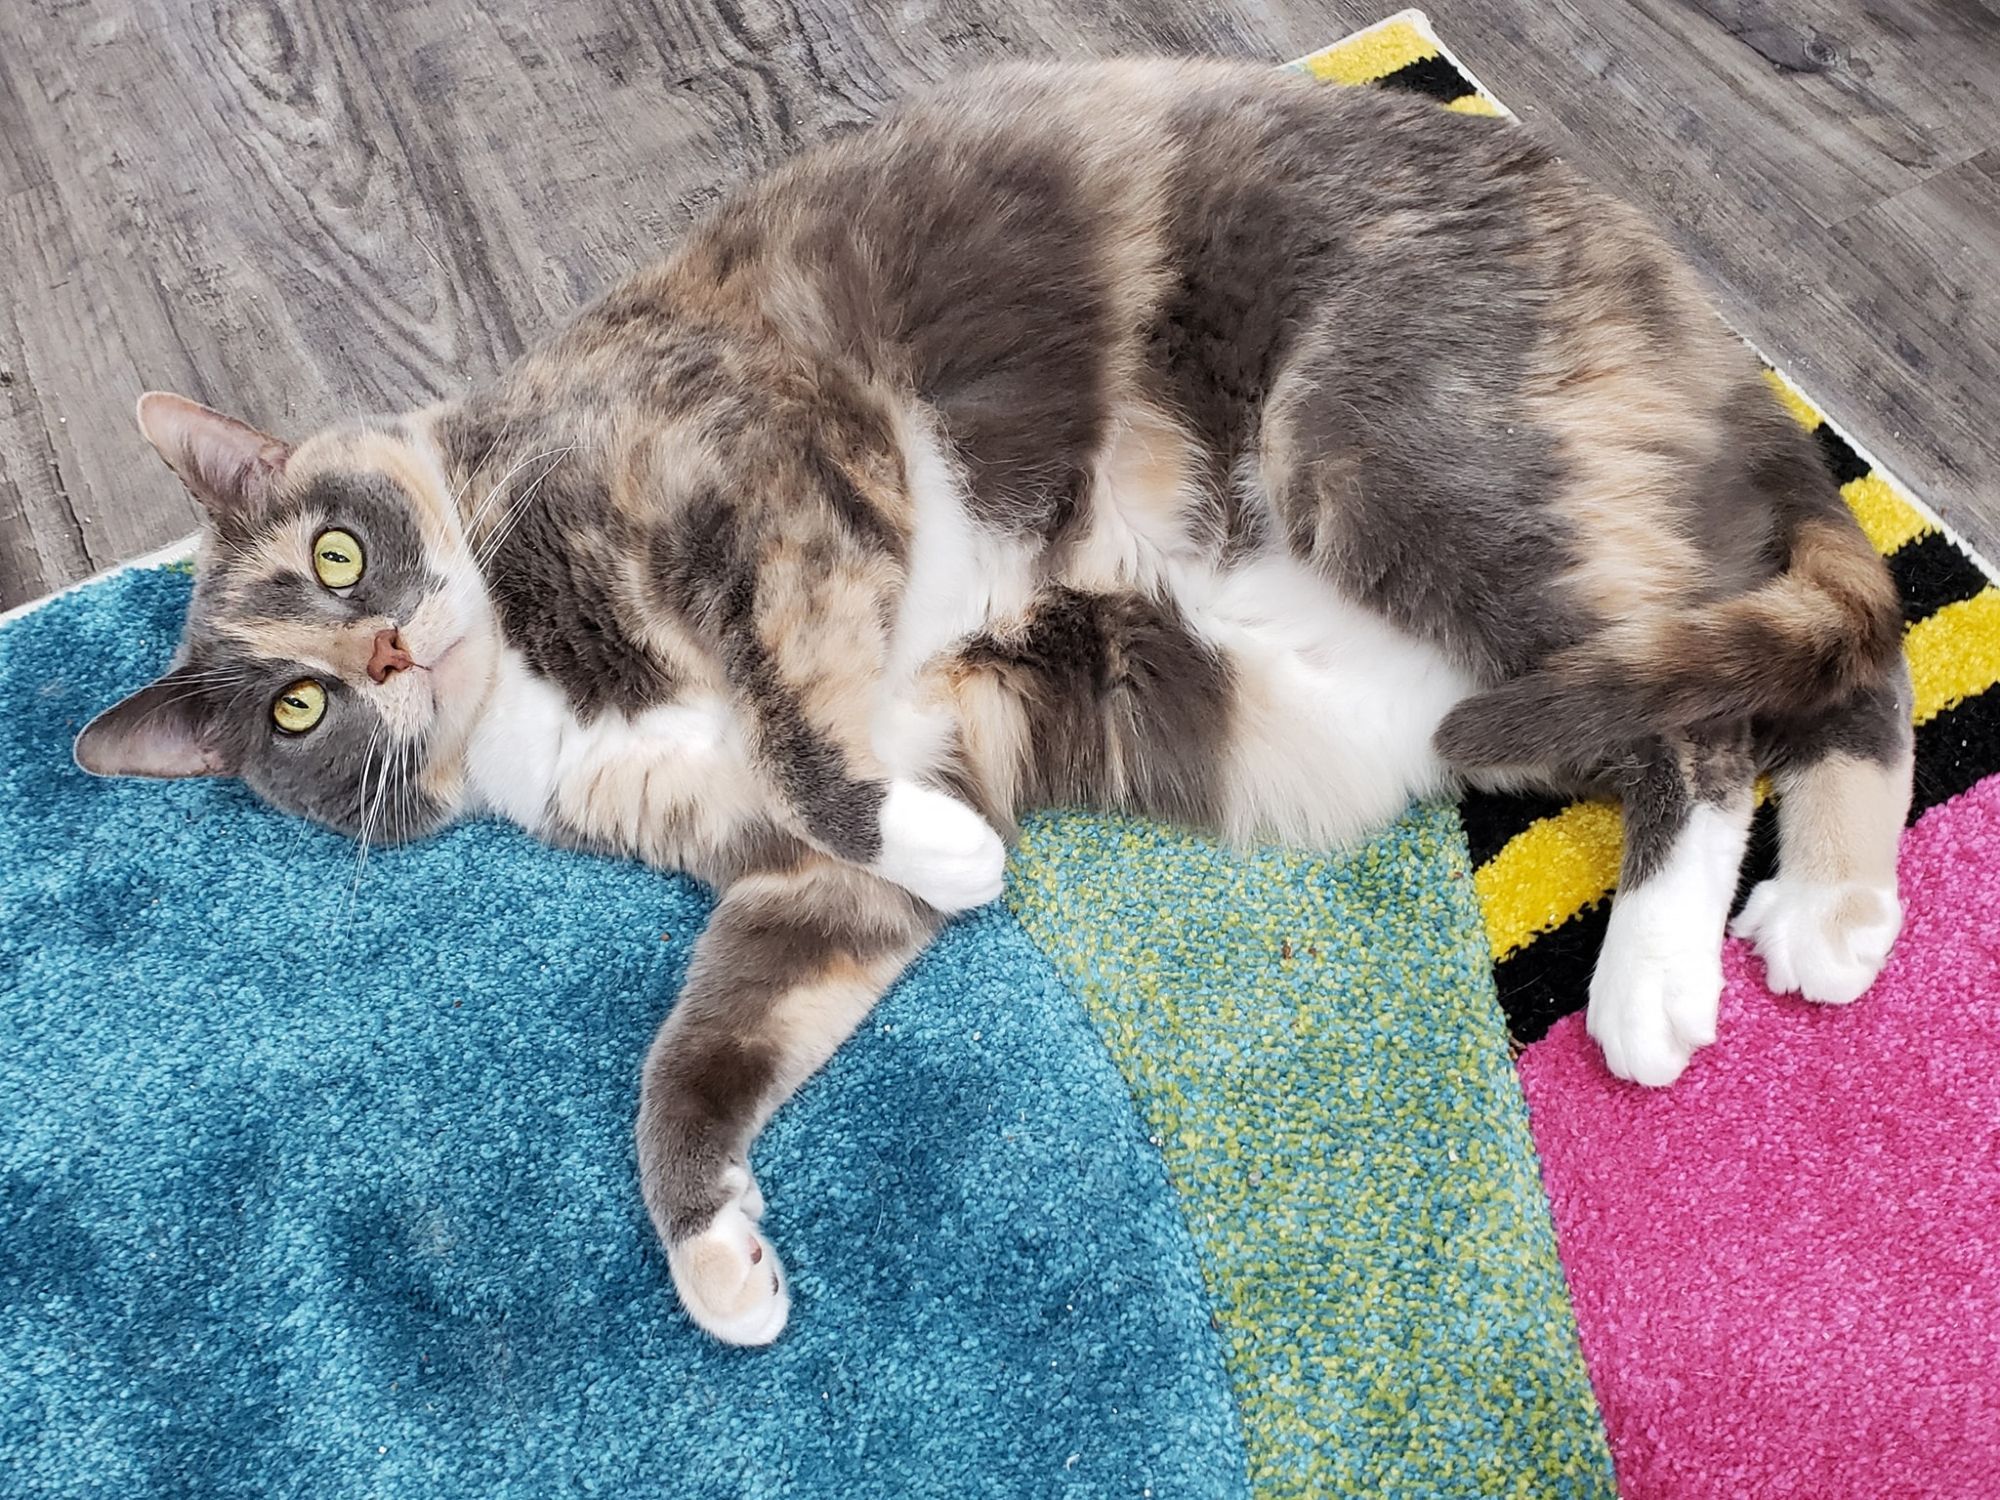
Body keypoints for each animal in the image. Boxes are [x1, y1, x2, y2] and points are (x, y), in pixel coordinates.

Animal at [74, 58, 1904, 1352]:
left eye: (333, 552)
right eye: (294, 715)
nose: (383, 660)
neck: (536, 685)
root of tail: (1677, 306)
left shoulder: (771, 474)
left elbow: (801, 723)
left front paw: (951, 852)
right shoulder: (802, 880)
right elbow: (697, 1054)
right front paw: (719, 1264)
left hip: (1387, 451)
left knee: (1735, 698)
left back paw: (1660, 976)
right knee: (1801, 661)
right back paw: (1830, 907)